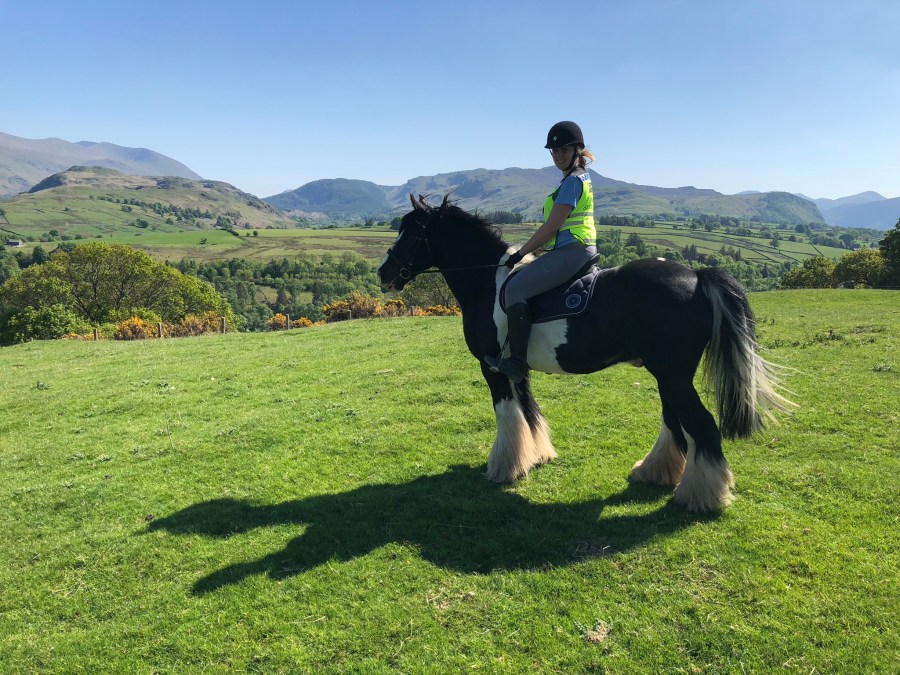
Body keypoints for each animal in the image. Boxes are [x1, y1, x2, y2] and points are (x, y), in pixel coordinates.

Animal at [376, 195, 792, 512]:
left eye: (412, 232)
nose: (384, 273)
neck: (488, 284)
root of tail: (697, 276)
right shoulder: (516, 368)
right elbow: (528, 412)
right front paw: (536, 456)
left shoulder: (492, 367)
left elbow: (507, 415)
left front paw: (504, 468)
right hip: (668, 376)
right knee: (675, 422)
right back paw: (654, 473)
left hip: (673, 376)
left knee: (701, 425)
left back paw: (700, 497)